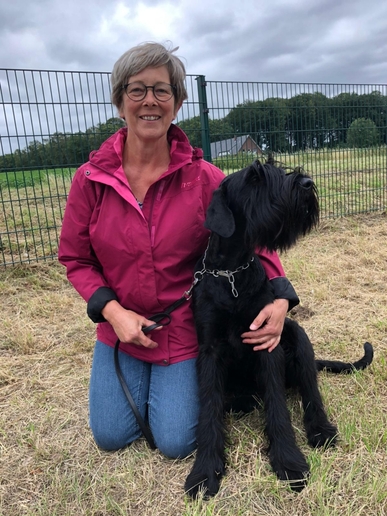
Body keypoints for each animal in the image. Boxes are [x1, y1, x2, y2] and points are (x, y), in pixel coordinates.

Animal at [186, 162, 374, 500]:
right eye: (254, 177)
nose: (307, 183)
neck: (232, 273)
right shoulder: (209, 350)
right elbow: (209, 408)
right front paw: (205, 471)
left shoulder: (267, 342)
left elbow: (277, 406)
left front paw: (288, 460)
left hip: (297, 336)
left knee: (311, 392)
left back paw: (320, 429)